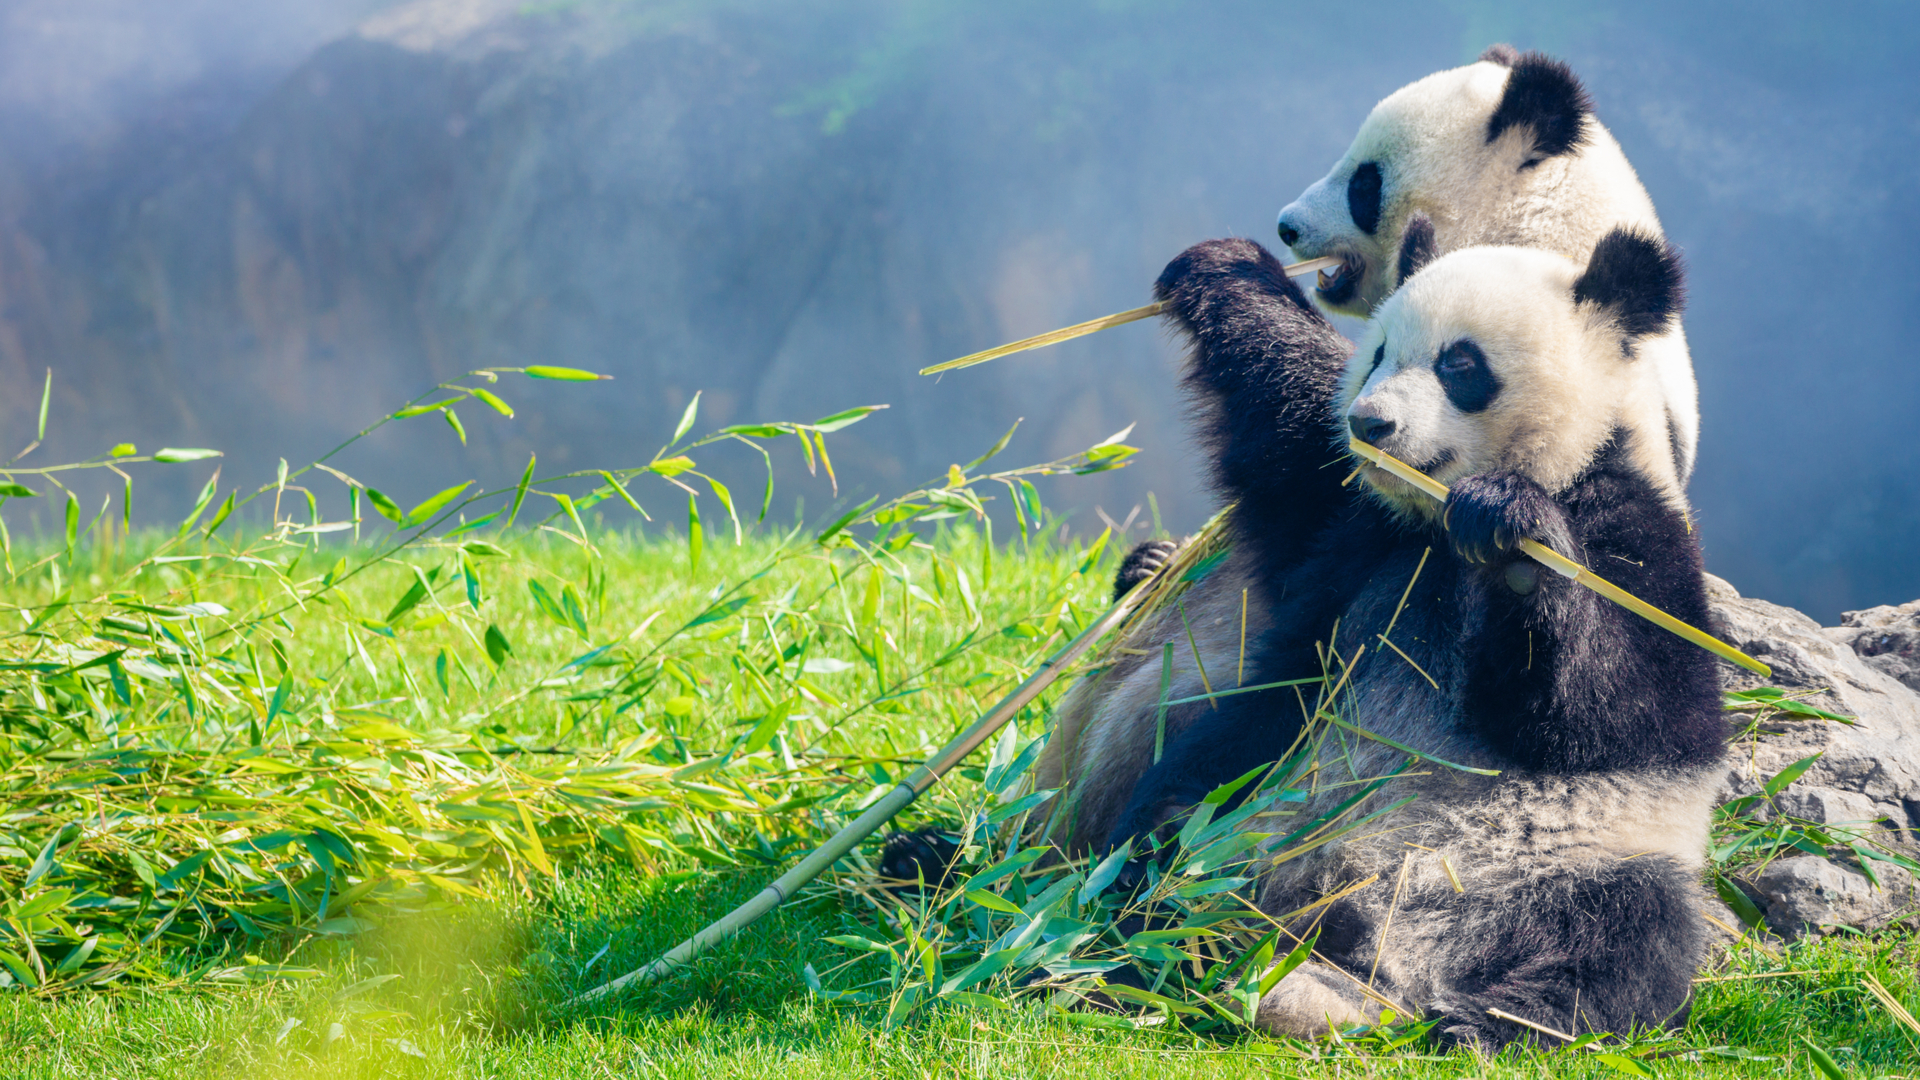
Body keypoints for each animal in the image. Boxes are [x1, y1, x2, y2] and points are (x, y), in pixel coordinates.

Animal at [1075, 226, 1735, 1045]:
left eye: (1460, 364)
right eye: (1380, 351)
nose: (1371, 424)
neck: (1438, 525)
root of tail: (1369, 950)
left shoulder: (1640, 532)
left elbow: (1623, 711)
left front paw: (1515, 540)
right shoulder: (1362, 536)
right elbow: (1292, 444)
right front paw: (1225, 268)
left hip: (1575, 860)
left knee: (1632, 936)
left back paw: (1486, 1019)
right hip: (1257, 798)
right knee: (1179, 816)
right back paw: (1148, 927)